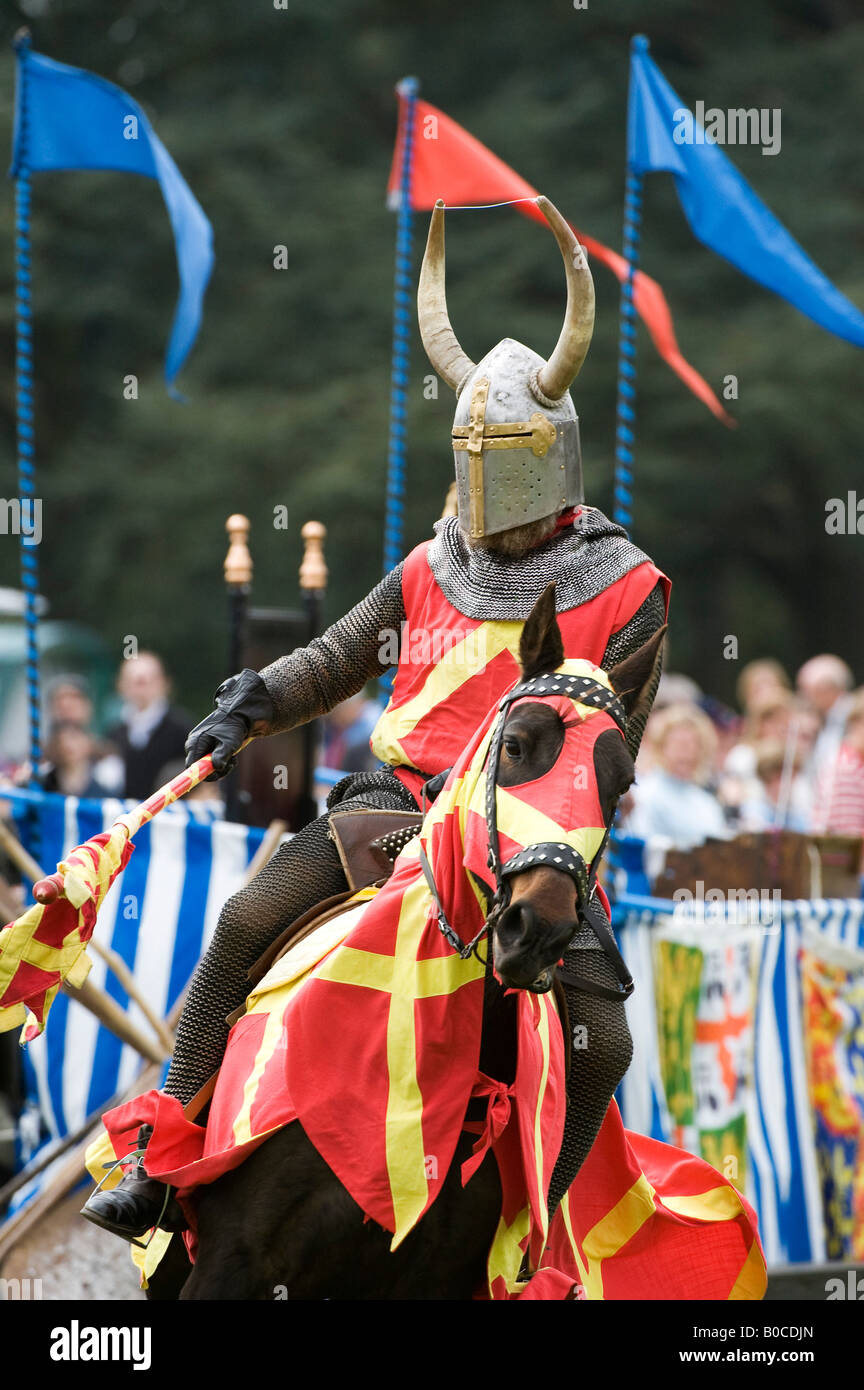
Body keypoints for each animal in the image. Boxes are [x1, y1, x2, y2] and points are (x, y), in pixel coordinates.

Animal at [148, 589, 666, 1301]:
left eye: (620, 786)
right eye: (515, 746)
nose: (539, 930)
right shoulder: (232, 1263)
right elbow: (332, 662)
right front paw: (234, 716)